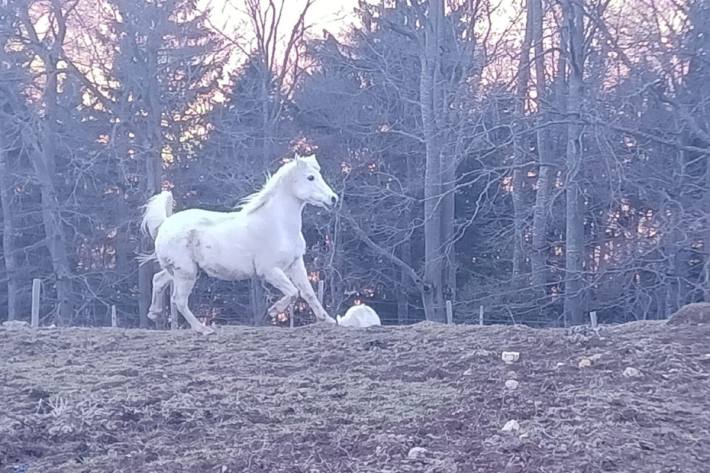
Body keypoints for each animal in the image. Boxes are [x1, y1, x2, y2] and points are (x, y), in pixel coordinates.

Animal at [140, 153, 342, 334]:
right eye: (310, 177)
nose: (333, 198)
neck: (278, 225)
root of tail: (165, 223)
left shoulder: (295, 263)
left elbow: (308, 293)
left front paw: (328, 320)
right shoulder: (269, 270)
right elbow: (293, 292)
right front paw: (274, 310)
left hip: (179, 271)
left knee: (158, 280)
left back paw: (154, 313)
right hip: (186, 273)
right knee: (179, 300)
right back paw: (203, 329)